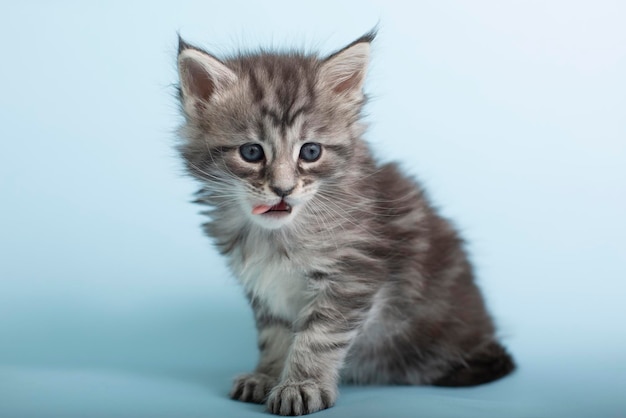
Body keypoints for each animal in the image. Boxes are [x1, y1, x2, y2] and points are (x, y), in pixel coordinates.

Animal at [174, 31, 512, 414]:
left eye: (310, 152)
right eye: (251, 152)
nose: (283, 189)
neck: (277, 236)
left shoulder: (353, 274)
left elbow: (317, 337)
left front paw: (301, 386)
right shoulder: (266, 289)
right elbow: (274, 337)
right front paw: (266, 375)